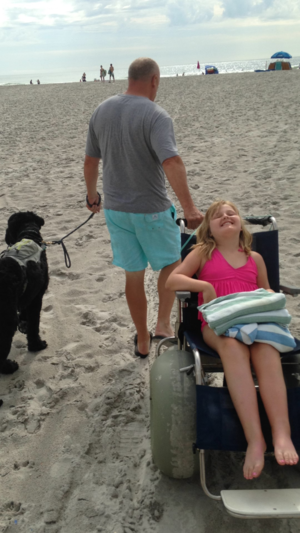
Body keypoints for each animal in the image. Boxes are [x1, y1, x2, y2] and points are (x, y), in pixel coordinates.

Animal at [0, 210, 49, 372]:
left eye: (8, 226)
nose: (5, 236)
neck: (29, 235)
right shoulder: (36, 296)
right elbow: (34, 324)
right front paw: (36, 345)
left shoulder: (27, 295)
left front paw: (24, 324)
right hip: (7, 321)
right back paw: (8, 367)